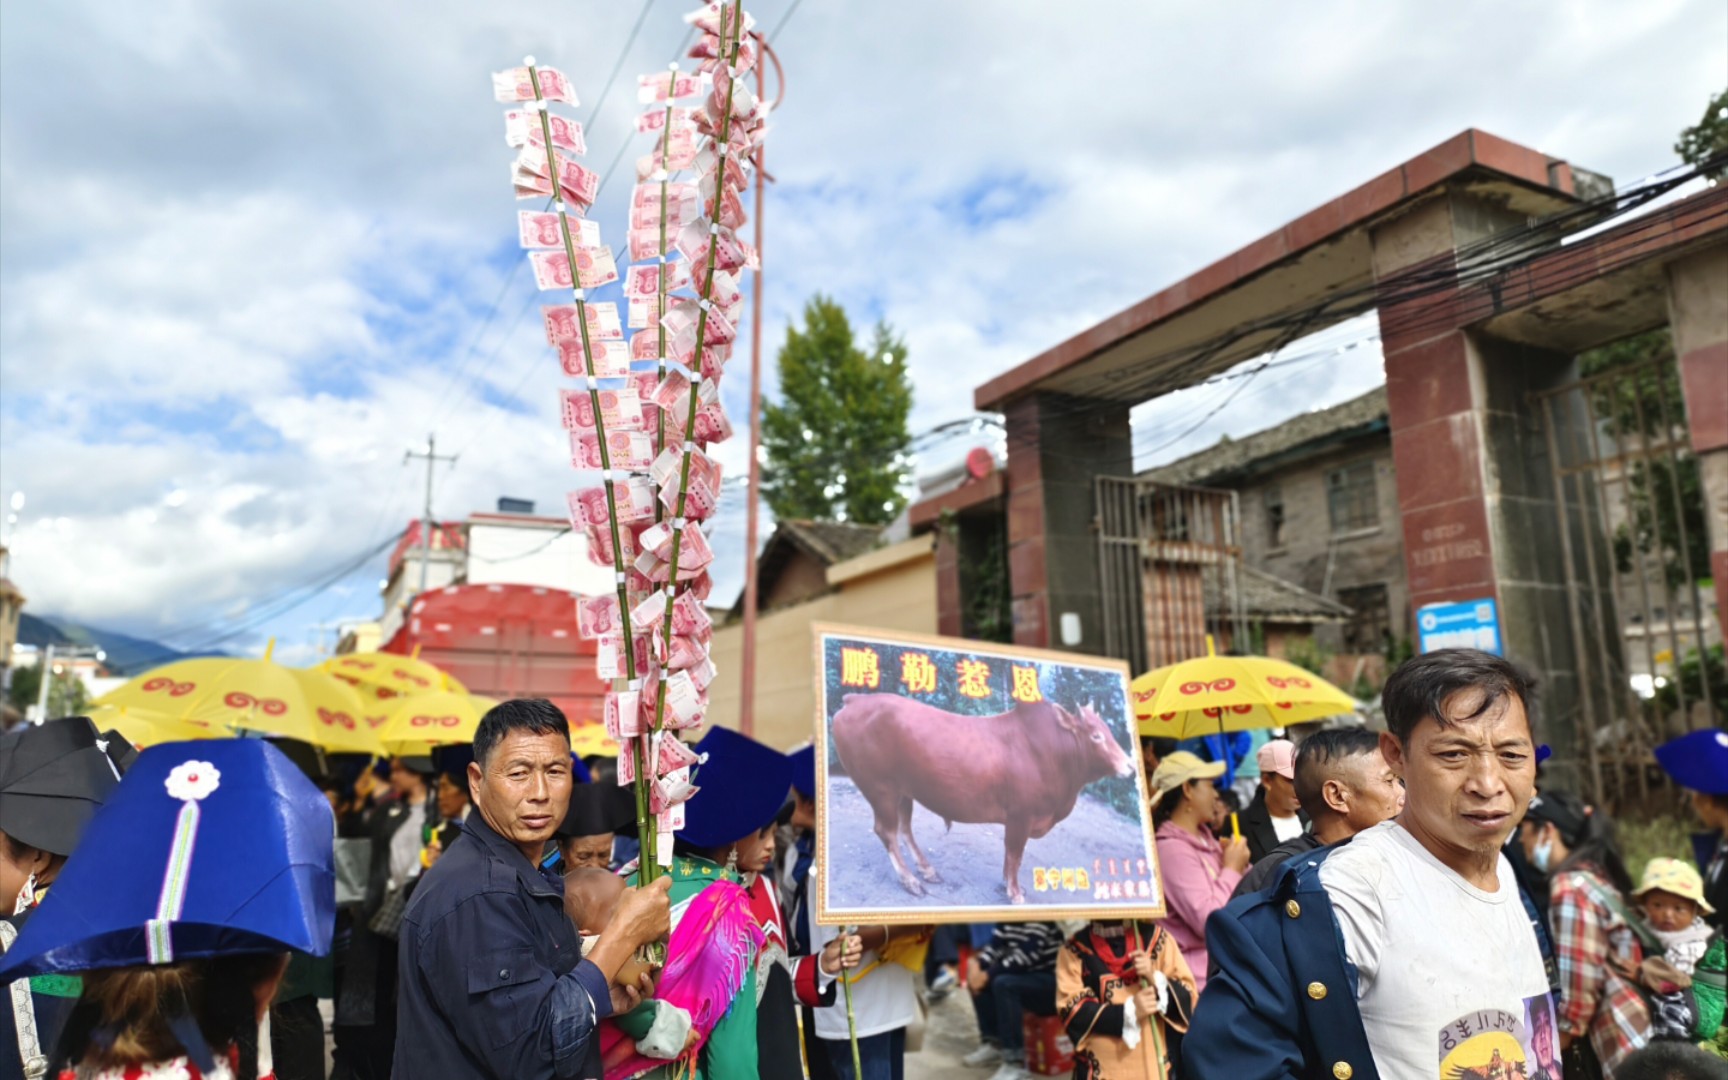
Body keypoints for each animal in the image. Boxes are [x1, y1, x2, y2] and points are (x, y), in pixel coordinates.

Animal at [832, 691, 1140, 898]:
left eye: (1108, 731)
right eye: (1095, 736)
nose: (1130, 766)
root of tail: (855, 699)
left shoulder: (1018, 820)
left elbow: (1010, 854)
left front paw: (1007, 884)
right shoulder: (1021, 817)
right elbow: (1015, 853)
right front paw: (1014, 892)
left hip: (904, 791)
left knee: (904, 829)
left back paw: (927, 870)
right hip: (880, 789)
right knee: (886, 831)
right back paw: (910, 880)